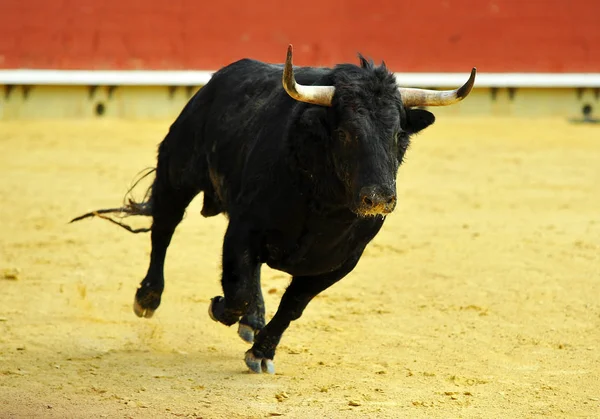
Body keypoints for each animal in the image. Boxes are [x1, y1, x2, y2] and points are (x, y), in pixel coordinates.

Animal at [71, 46, 474, 374]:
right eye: (345, 133)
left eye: (398, 135)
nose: (379, 199)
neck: (324, 206)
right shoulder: (242, 231)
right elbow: (237, 291)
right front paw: (220, 308)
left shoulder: (342, 262)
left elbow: (292, 305)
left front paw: (262, 351)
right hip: (177, 172)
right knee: (164, 230)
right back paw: (148, 298)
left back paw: (252, 322)